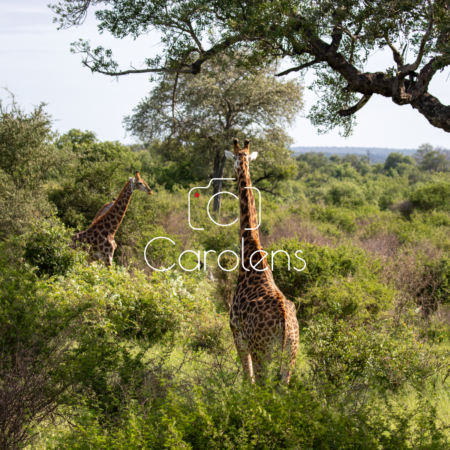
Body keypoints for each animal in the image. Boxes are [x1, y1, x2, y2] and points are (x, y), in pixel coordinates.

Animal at [224, 138, 298, 384]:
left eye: (234, 158)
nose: (231, 174)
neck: (251, 248)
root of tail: (285, 326)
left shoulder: (236, 331)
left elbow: (247, 379)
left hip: (261, 351)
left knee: (260, 386)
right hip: (290, 357)